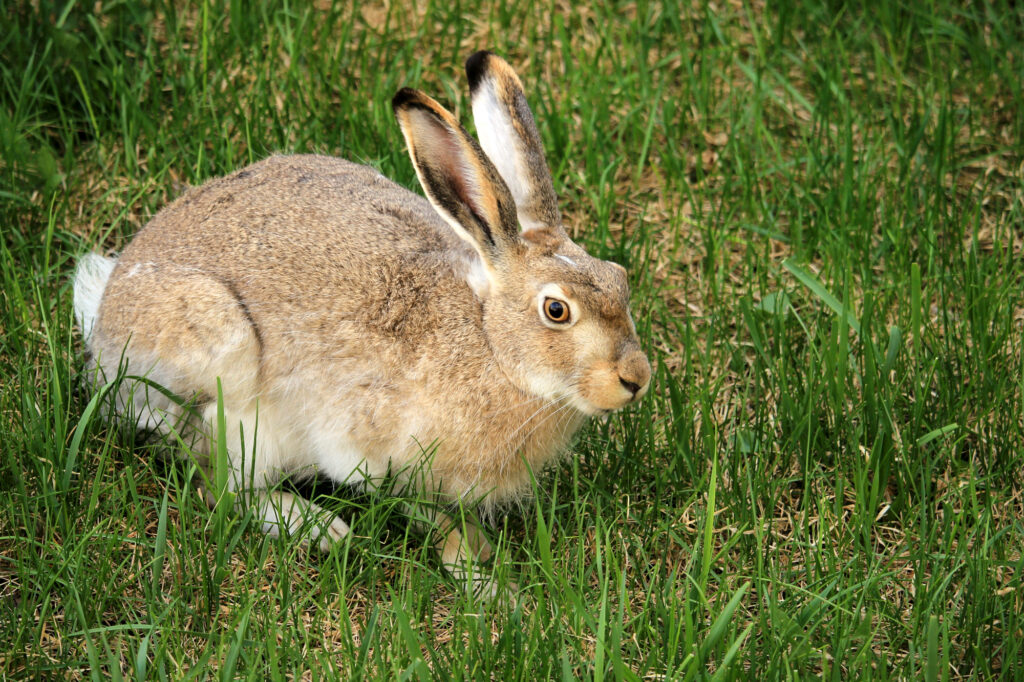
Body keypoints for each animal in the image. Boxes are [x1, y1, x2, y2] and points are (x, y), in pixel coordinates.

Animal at [72, 51, 651, 591]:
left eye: (620, 278)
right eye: (556, 310)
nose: (636, 380)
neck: (489, 342)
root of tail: (105, 316)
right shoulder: (367, 451)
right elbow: (424, 513)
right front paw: (484, 580)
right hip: (221, 361)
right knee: (213, 482)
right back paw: (316, 527)